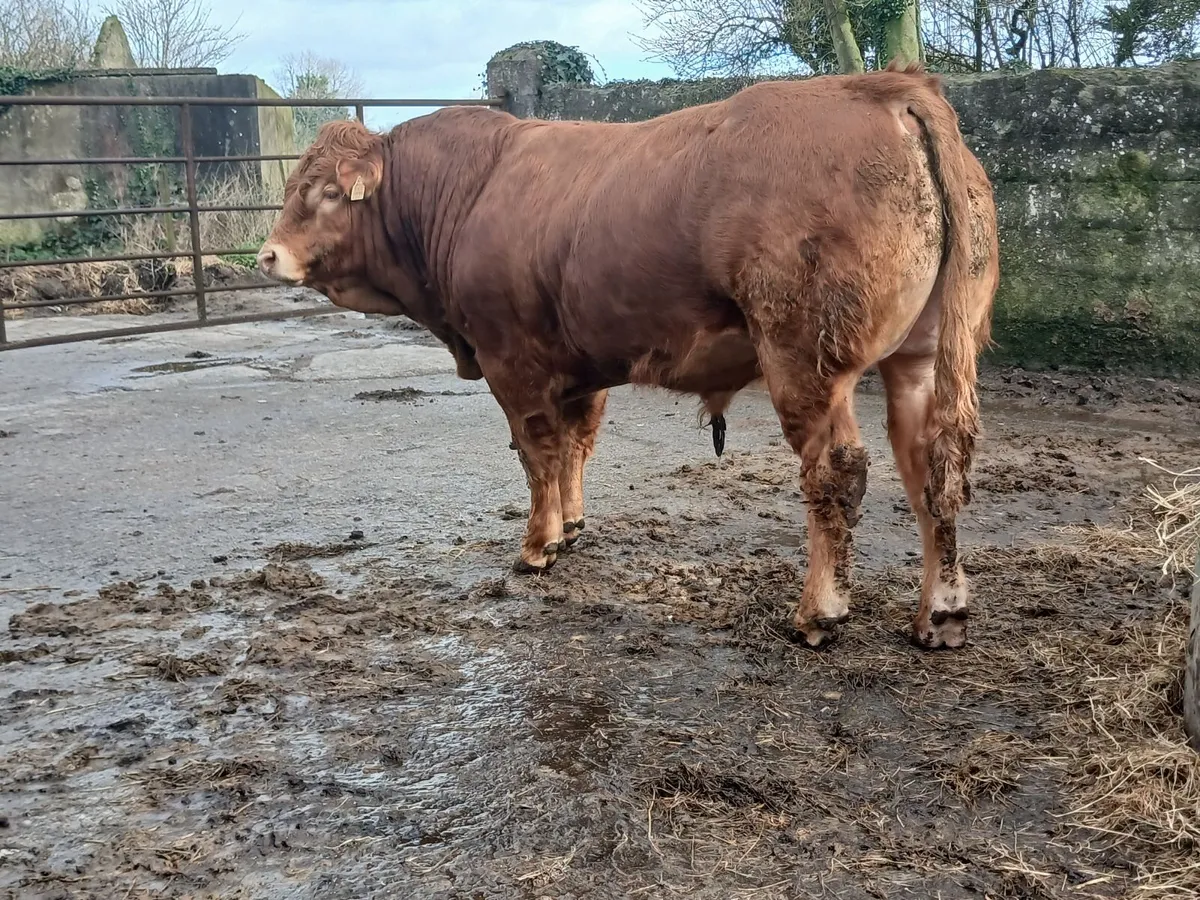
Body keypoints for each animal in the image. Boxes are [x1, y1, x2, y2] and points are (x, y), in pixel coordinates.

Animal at [257, 60, 999, 650]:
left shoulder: (510, 360)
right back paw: (942, 614)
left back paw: (820, 611)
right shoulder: (579, 366)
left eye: (327, 192)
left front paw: (538, 546)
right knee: (933, 466)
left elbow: (536, 453)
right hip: (921, 355)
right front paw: (573, 525)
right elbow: (575, 447)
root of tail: (886, 86)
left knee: (837, 473)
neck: (468, 193)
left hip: (806, 359)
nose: (267, 255)